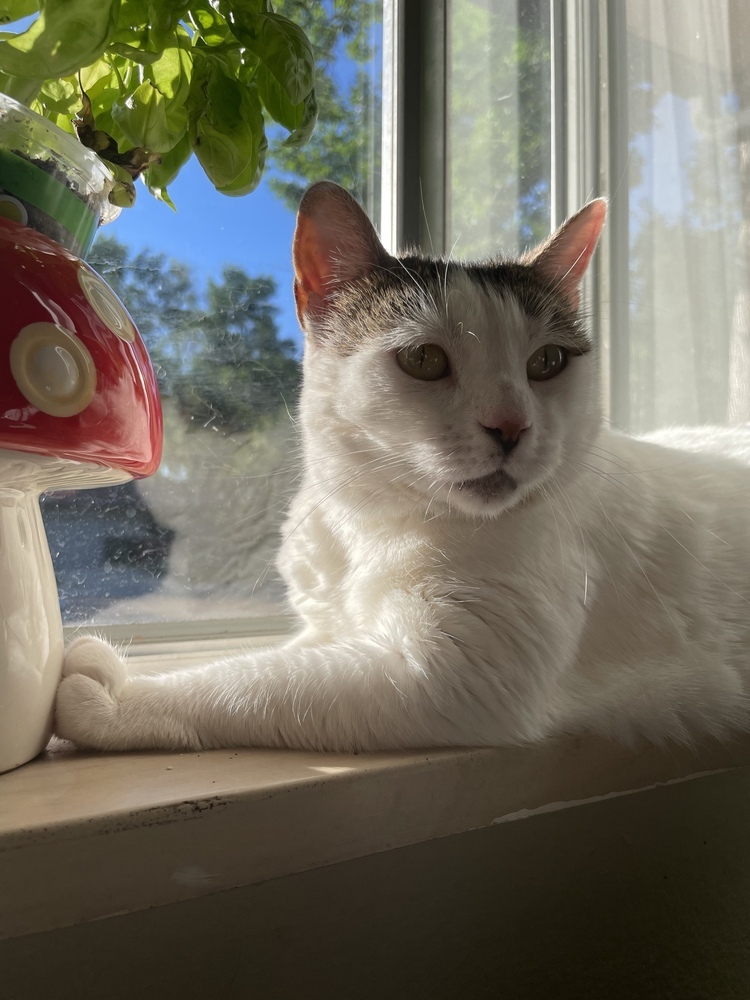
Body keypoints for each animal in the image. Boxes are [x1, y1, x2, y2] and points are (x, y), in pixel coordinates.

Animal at [55, 182, 750, 752]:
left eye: (548, 362)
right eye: (423, 360)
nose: (512, 427)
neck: (368, 524)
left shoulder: (451, 674)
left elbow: (255, 682)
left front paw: (116, 696)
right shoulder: (328, 629)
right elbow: (275, 655)